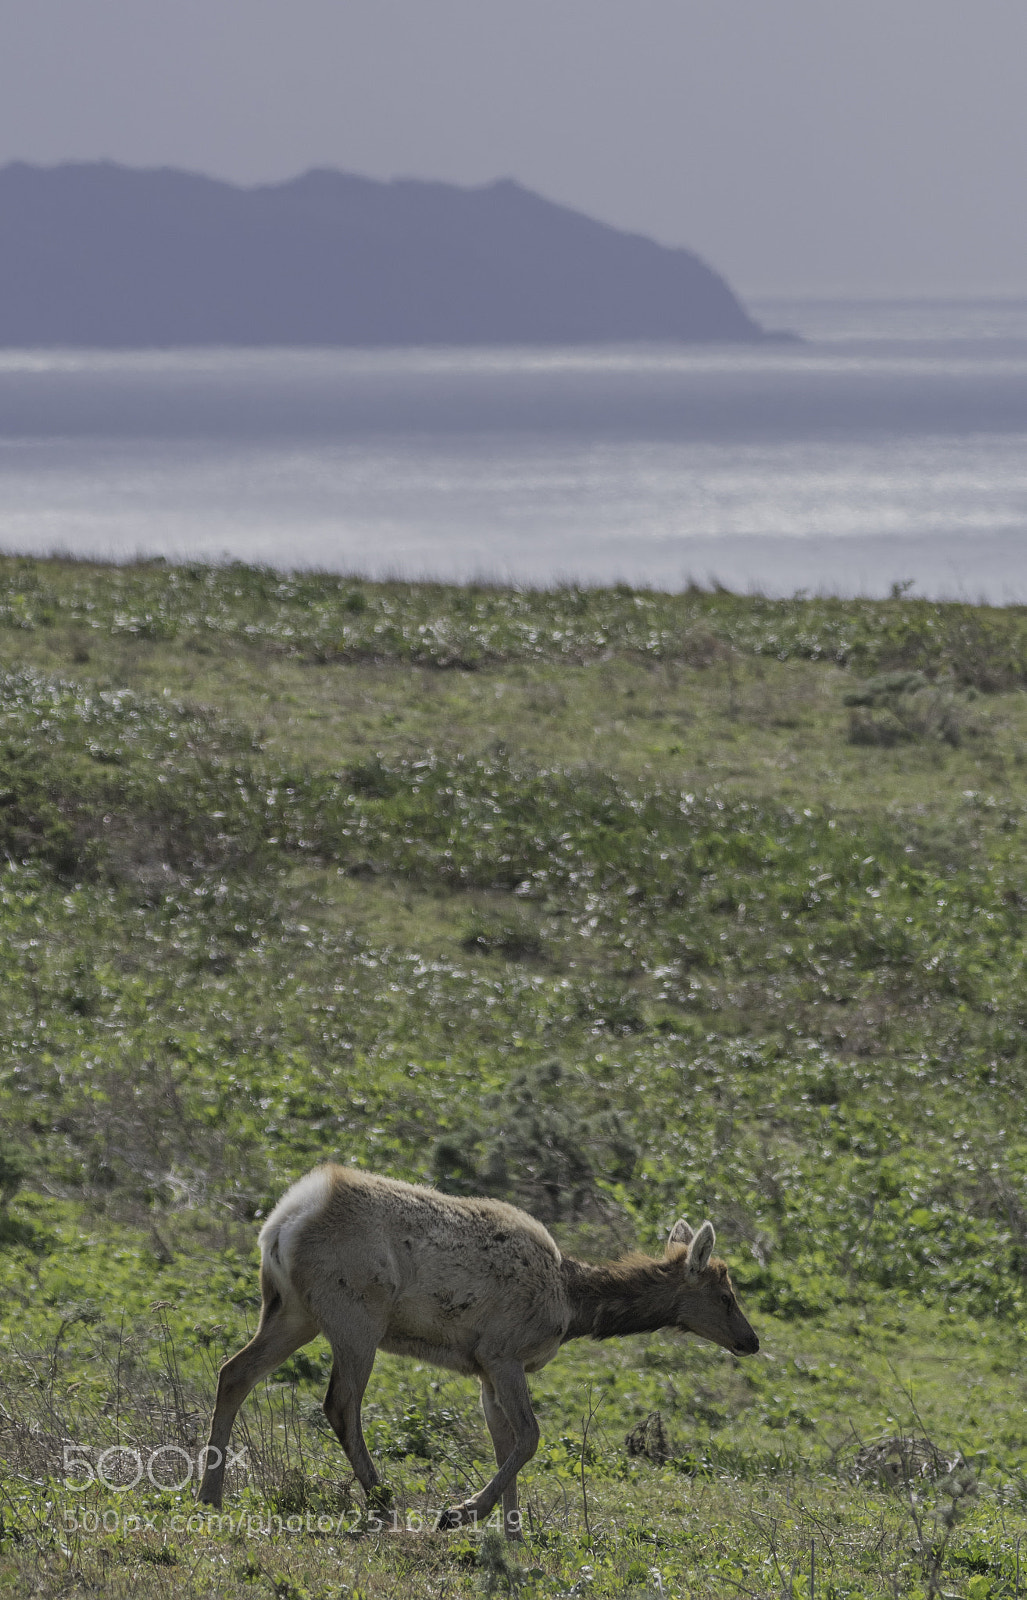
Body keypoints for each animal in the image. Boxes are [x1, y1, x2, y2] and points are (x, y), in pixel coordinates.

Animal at [197, 1164, 759, 1536]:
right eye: (726, 1295)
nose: (750, 1341)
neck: (572, 1306)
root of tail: (281, 1225)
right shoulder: (503, 1353)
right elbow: (529, 1438)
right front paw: (462, 1513)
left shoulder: (485, 1370)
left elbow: (503, 1441)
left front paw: (512, 1533)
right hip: (356, 1315)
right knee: (339, 1404)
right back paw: (383, 1505)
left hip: (293, 1312)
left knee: (234, 1372)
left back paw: (210, 1494)